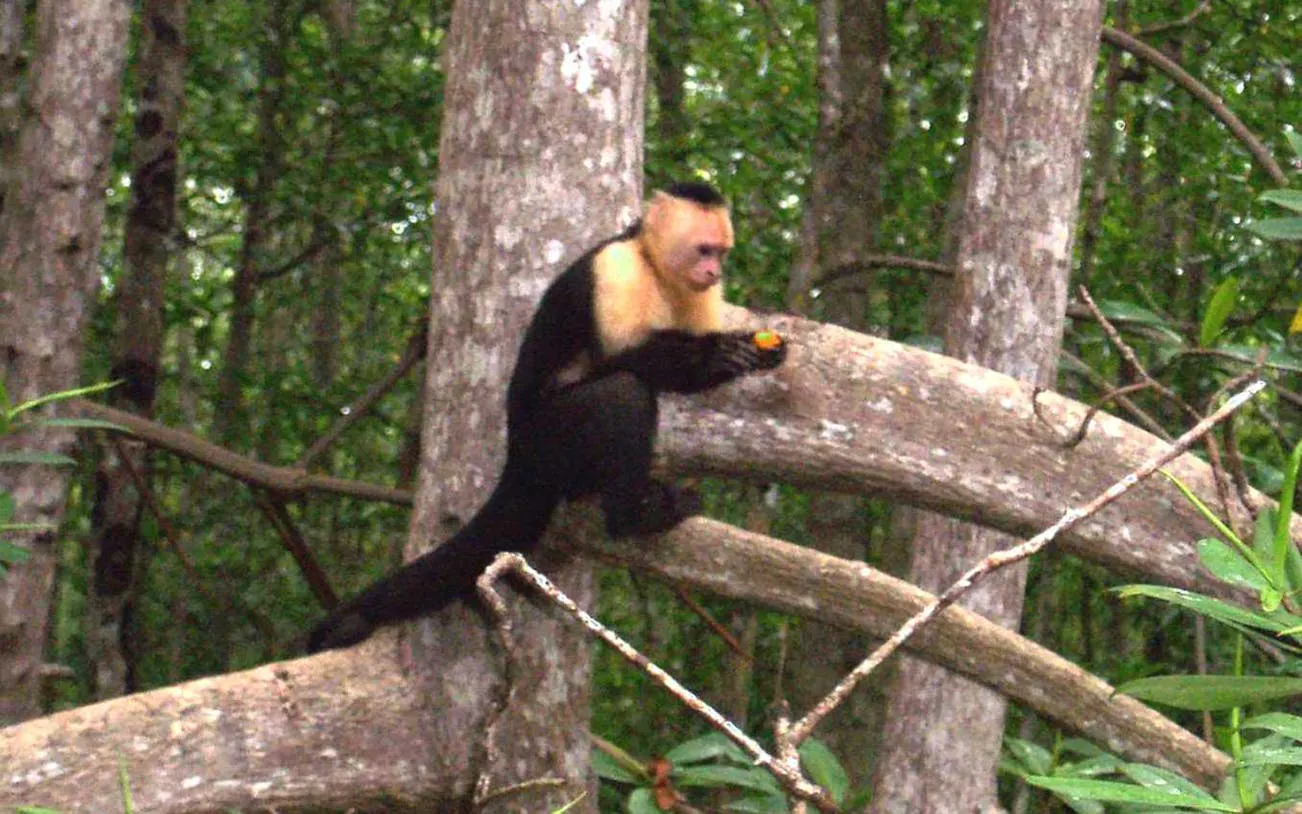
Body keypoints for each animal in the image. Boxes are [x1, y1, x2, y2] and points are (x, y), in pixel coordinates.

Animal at [307, 182, 786, 652]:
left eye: (721, 253)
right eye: (704, 250)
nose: (714, 272)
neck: (652, 263)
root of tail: (516, 453)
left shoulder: (698, 296)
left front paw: (756, 351)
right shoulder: (617, 271)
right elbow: (622, 361)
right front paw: (720, 353)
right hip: (546, 440)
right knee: (622, 392)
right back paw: (634, 516)